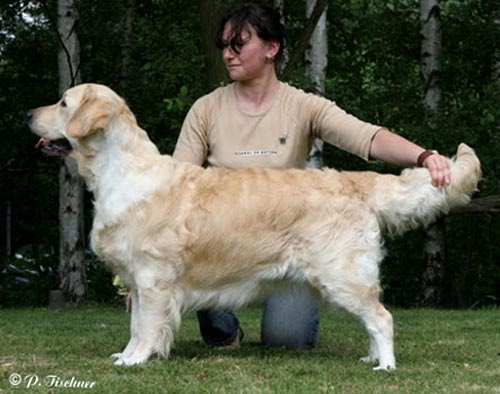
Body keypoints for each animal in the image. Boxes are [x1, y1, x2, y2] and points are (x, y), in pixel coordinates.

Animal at [27, 83, 480, 370]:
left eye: (63, 103)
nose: (29, 113)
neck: (117, 171)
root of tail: (355, 181)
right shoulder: (137, 282)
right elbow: (136, 324)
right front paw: (126, 355)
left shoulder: (153, 278)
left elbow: (148, 325)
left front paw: (138, 360)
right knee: (372, 319)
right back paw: (371, 357)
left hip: (342, 274)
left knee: (382, 318)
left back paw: (384, 366)